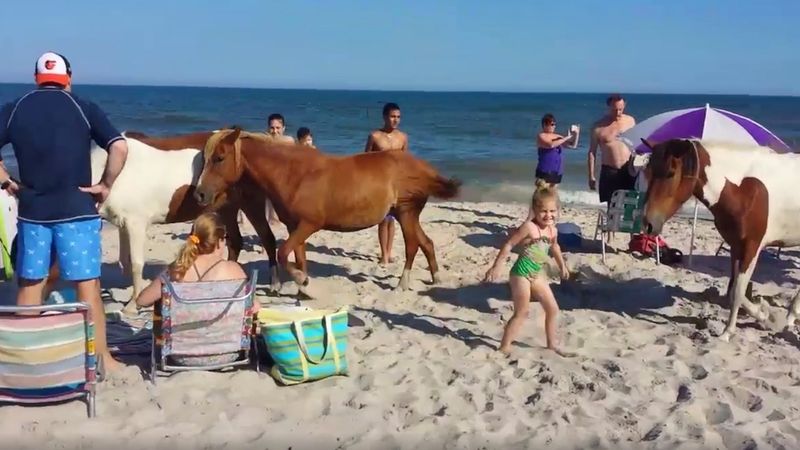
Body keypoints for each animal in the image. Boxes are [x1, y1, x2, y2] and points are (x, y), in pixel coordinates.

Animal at [88, 130, 280, 312]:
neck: (115, 171)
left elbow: (136, 264)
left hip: (251, 203)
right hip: (227, 208)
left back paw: (275, 284)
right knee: (236, 242)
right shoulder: (123, 224)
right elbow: (124, 262)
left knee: (267, 238)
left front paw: (133, 305)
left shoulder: (136, 223)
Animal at [640, 137, 800, 342]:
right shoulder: (736, 246)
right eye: (649, 172)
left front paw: (727, 333)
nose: (648, 224)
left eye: (671, 173)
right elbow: (733, 290)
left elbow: (738, 291)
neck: (744, 189)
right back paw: (791, 316)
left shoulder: (752, 247)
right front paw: (764, 316)